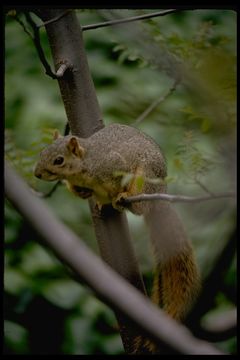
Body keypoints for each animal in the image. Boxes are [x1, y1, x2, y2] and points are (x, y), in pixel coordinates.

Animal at [34, 124, 200, 354]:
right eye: (42, 152)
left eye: (59, 160)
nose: (37, 173)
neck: (84, 164)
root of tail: (161, 196)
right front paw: (82, 192)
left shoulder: (113, 164)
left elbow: (118, 177)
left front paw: (118, 194)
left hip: (145, 179)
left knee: (140, 204)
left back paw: (125, 199)